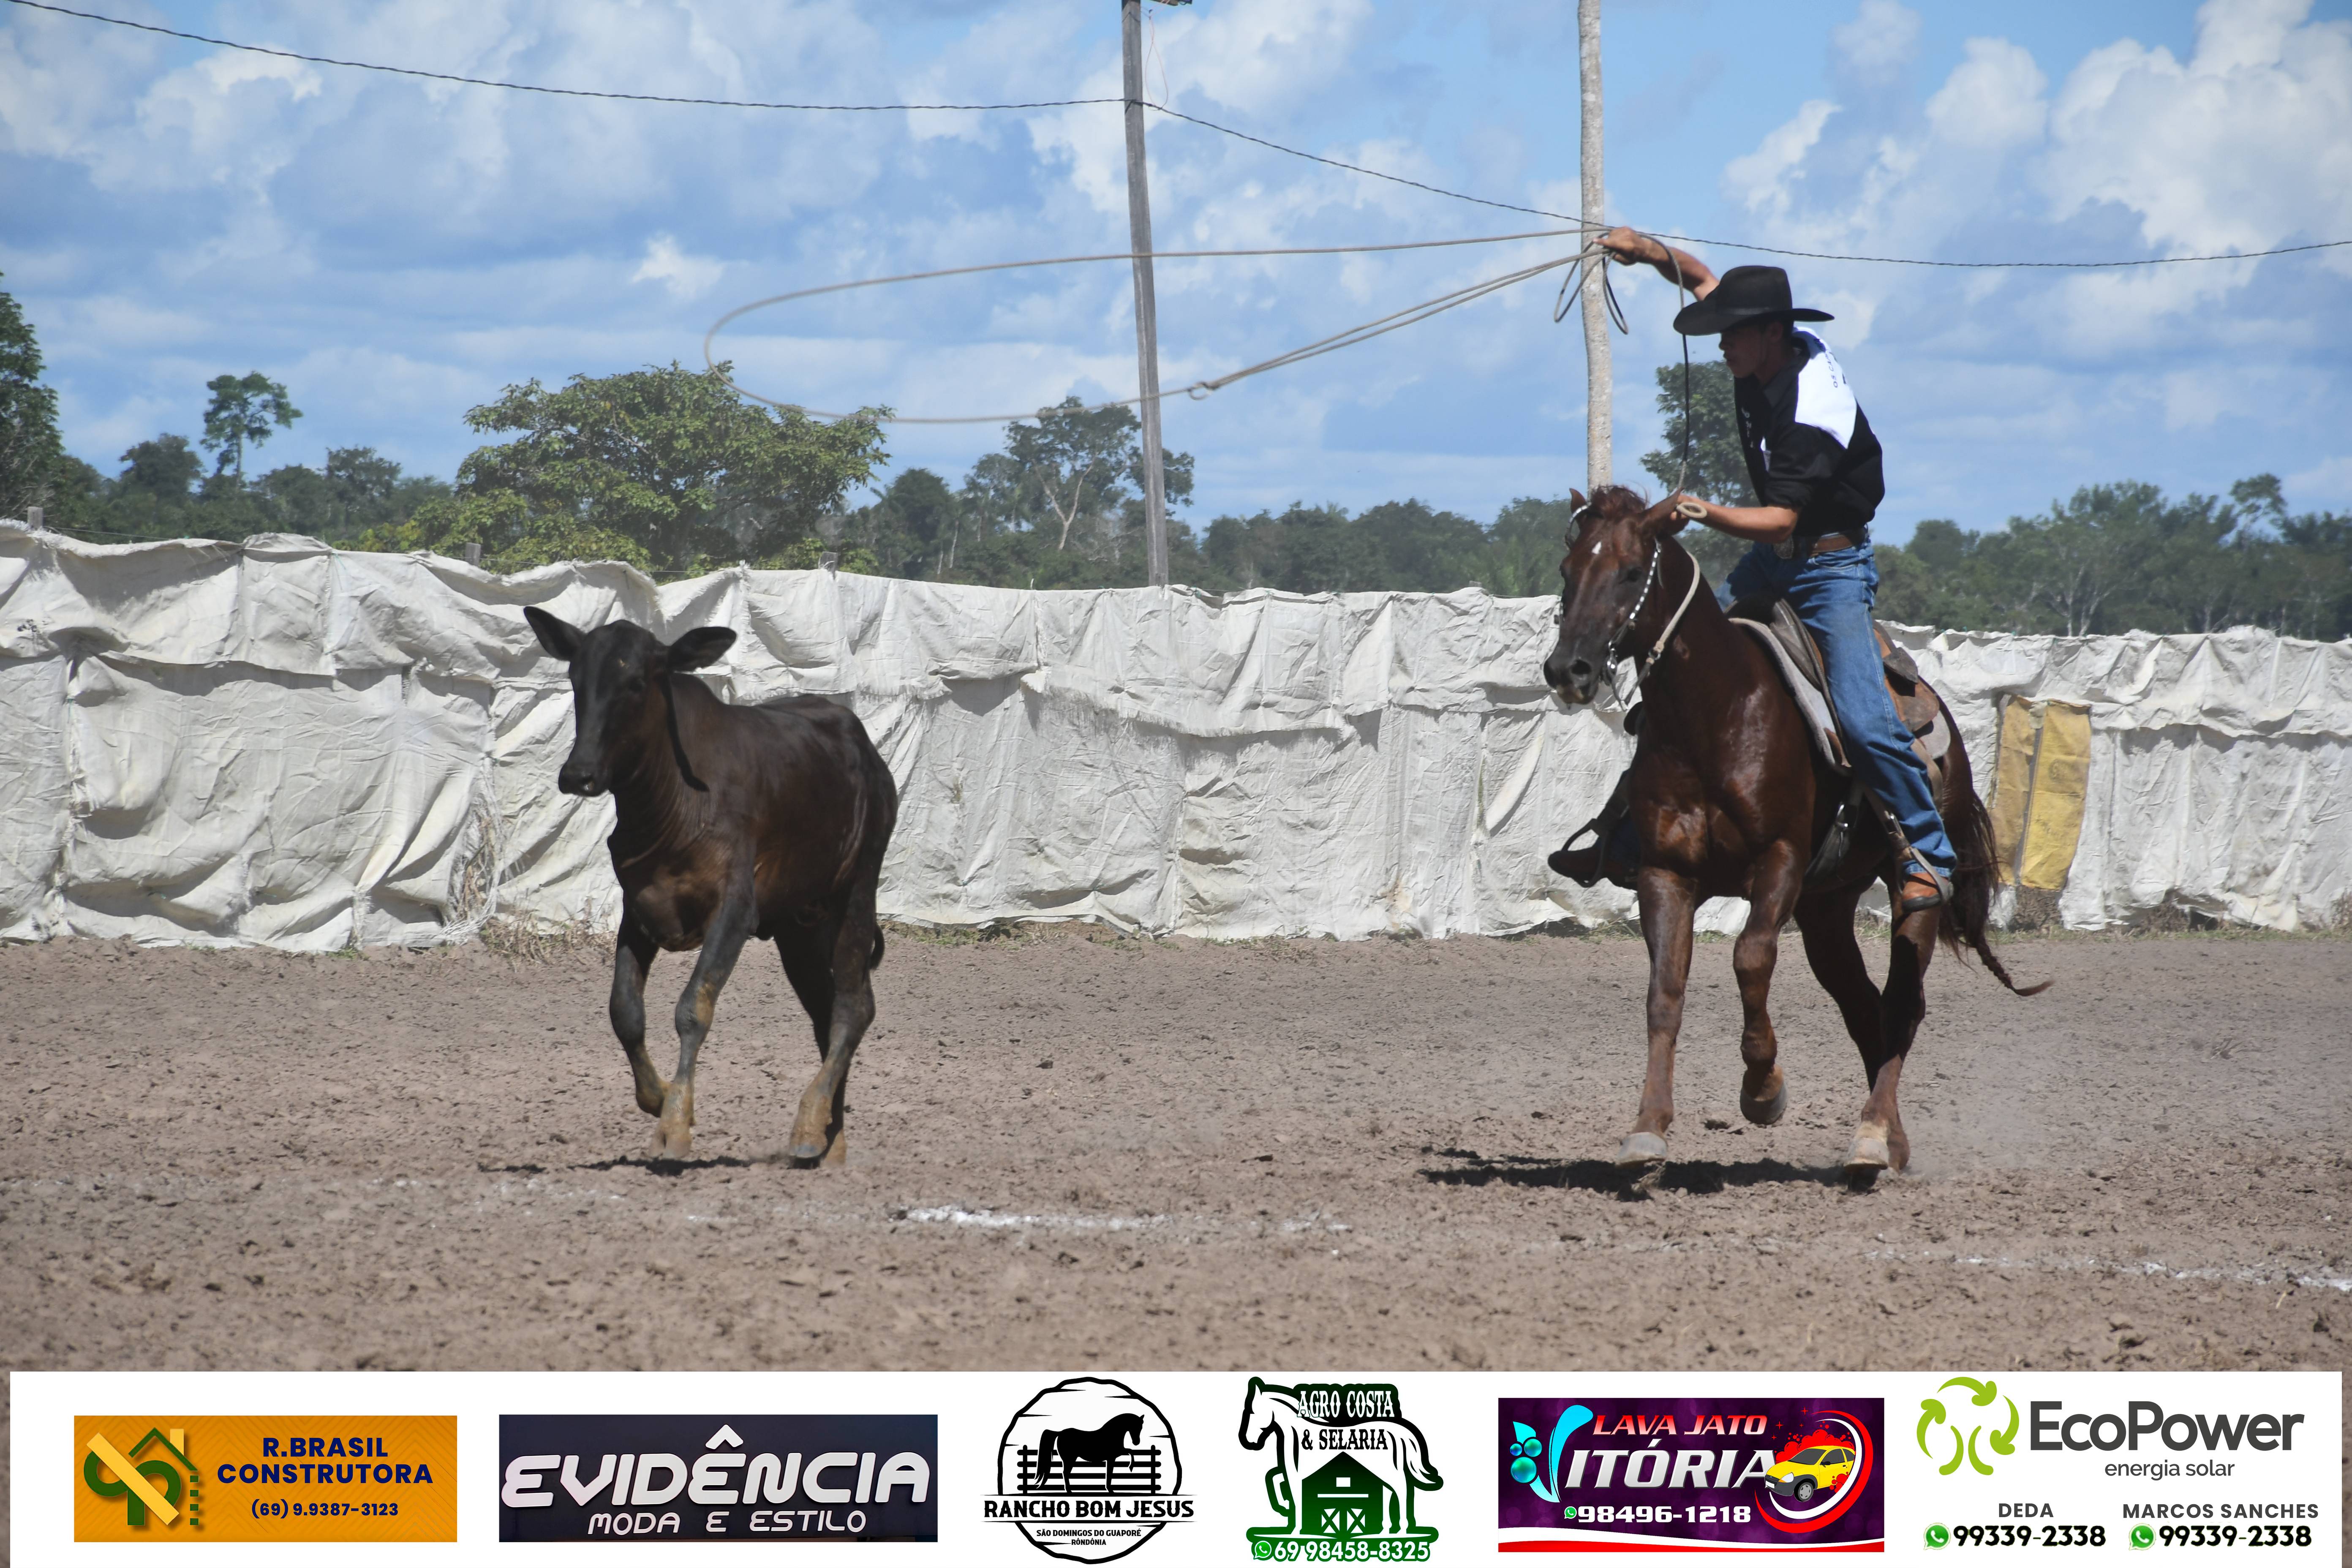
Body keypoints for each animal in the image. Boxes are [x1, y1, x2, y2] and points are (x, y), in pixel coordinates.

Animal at [524, 607, 897, 1166]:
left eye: (636, 683)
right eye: (575, 679)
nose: (579, 773)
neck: (669, 804)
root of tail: (868, 755)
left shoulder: (734, 912)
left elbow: (692, 1009)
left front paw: (674, 1126)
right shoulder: (638, 911)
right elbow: (624, 1011)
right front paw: (659, 1098)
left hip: (857, 891)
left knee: (854, 1007)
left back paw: (810, 1122)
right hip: (799, 927)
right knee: (825, 1011)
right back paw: (830, 1139)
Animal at [1036, 1412, 1147, 1492]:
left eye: (1141, 1428)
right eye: (1136, 1426)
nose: (1137, 1443)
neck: (1112, 1434)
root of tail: (1060, 1433)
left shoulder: (1117, 1454)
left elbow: (1130, 1452)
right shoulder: (1113, 1457)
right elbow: (1128, 1455)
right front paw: (1130, 1468)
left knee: (1065, 1473)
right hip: (1070, 1460)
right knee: (1065, 1473)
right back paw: (1069, 1491)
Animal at [1540, 486, 2040, 1175]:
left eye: (1632, 571)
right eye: (1568, 571)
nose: (1569, 669)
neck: (1717, 715)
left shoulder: (1778, 862)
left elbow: (1751, 959)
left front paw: (1763, 1091)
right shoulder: (1666, 873)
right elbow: (1664, 992)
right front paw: (1647, 1130)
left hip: (1912, 895)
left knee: (1902, 1003)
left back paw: (1871, 1136)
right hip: (1826, 908)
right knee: (1864, 1008)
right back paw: (1891, 1141)